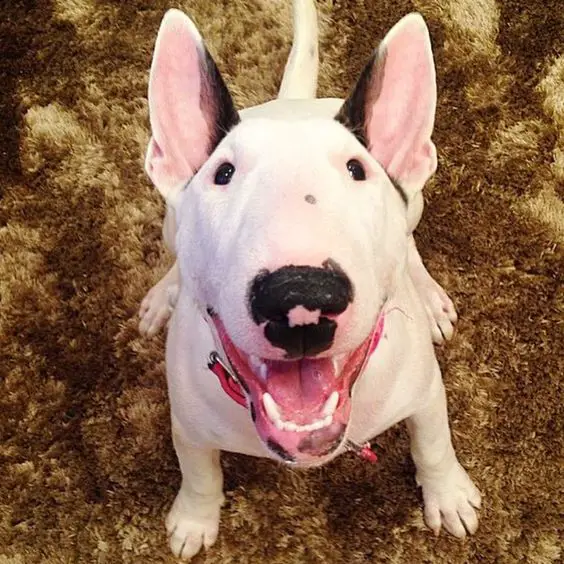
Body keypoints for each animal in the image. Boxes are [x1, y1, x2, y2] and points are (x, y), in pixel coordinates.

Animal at [138, 2, 480, 560]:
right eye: (223, 173)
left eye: (357, 169)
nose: (299, 296)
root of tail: (292, 102)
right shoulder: (187, 425)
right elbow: (199, 474)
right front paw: (194, 520)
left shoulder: (427, 393)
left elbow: (433, 444)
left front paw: (448, 495)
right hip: (169, 219)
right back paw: (161, 295)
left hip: (416, 201)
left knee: (410, 243)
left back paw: (429, 298)